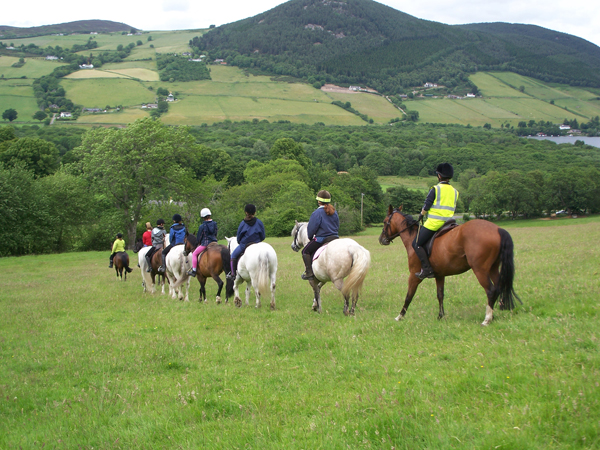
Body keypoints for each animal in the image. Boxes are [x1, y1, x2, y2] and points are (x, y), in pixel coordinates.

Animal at [380, 206, 520, 326]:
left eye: (385, 221)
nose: (381, 239)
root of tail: (497, 229)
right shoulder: (440, 275)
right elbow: (440, 295)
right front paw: (440, 316)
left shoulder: (414, 276)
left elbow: (409, 296)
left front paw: (400, 316)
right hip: (493, 268)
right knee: (499, 287)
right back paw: (493, 314)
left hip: (480, 270)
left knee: (491, 290)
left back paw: (487, 319)